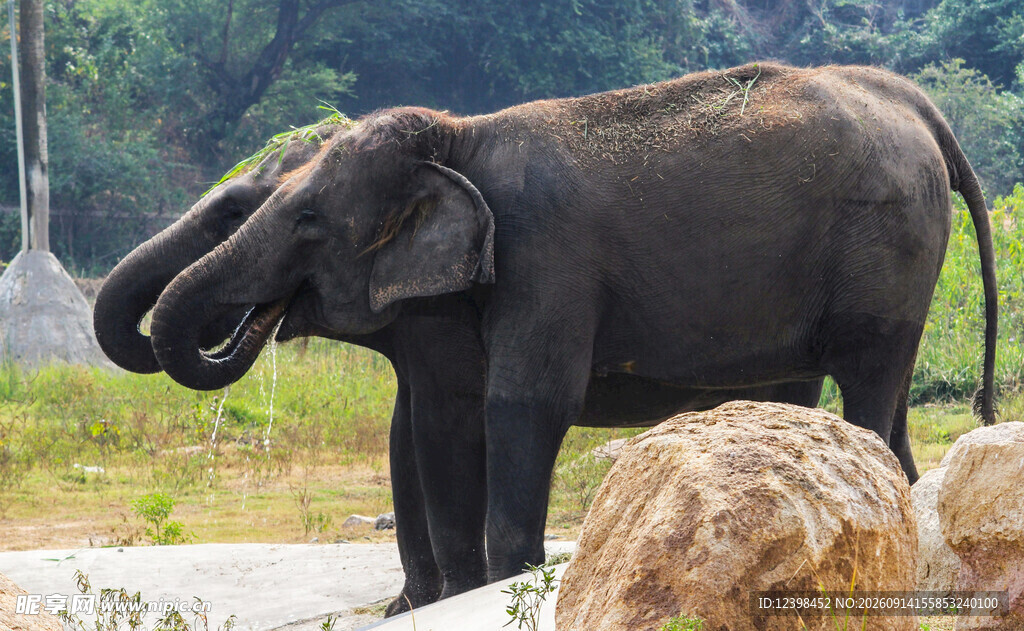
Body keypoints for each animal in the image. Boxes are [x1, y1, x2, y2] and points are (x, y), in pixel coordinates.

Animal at [96, 62, 996, 605]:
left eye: (308, 219)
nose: (251, 320)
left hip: (887, 253)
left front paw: (493, 584)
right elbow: (427, 421)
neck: (457, 134)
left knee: (870, 385)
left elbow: (517, 405)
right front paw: (429, 601)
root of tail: (915, 103)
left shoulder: (547, 259)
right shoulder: (449, 306)